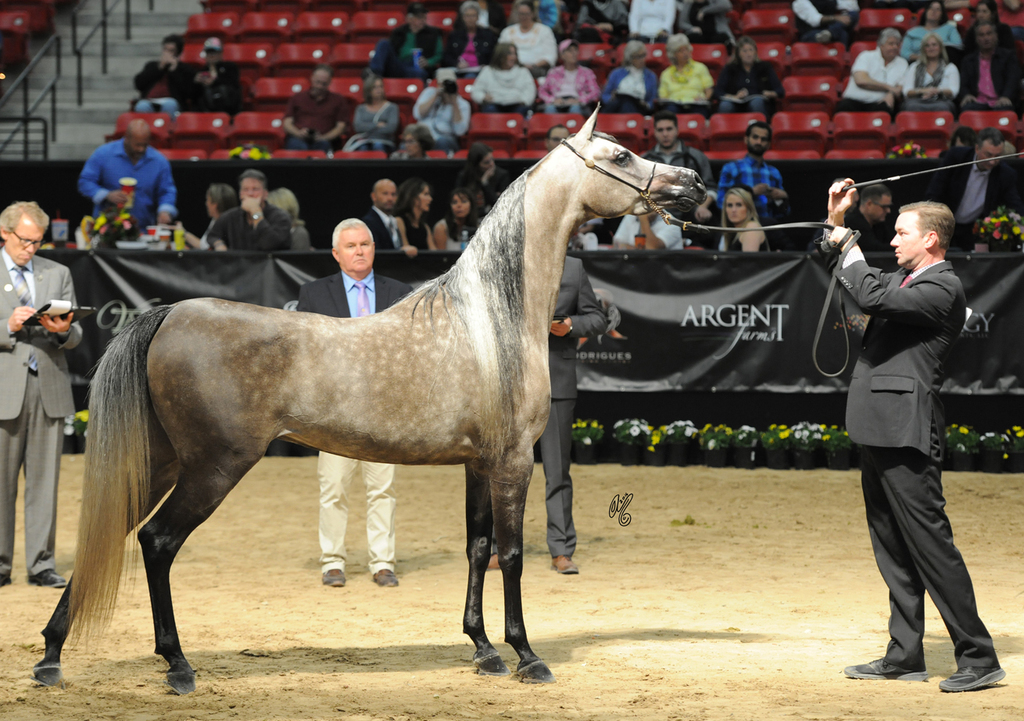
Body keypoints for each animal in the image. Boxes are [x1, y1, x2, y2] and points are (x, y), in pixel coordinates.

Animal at [31, 109, 706, 695]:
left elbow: (478, 548)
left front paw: (483, 648)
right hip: (214, 467)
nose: (693, 182)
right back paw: (176, 665)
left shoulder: (478, 464)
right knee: (157, 543)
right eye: (620, 155)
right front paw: (526, 655)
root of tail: (169, 313)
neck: (490, 320)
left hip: (161, 460)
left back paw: (51, 655)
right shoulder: (514, 460)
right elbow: (512, 555)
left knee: (111, 533)